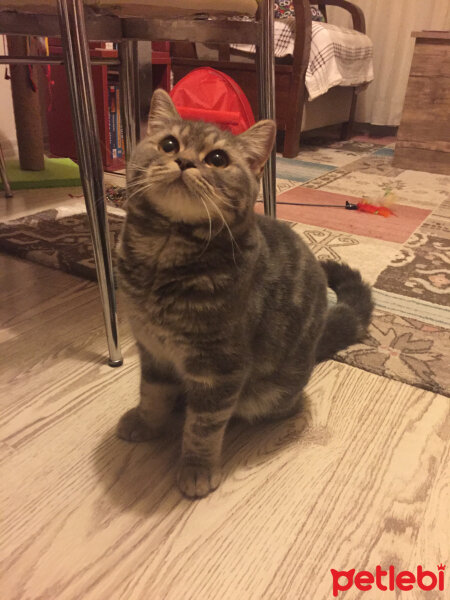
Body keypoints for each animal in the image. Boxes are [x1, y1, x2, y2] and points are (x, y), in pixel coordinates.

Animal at [116, 89, 372, 500]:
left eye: (217, 159)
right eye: (169, 144)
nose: (184, 161)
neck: (161, 259)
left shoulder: (220, 367)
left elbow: (203, 427)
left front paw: (196, 469)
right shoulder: (152, 350)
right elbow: (152, 394)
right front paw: (145, 422)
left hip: (271, 393)